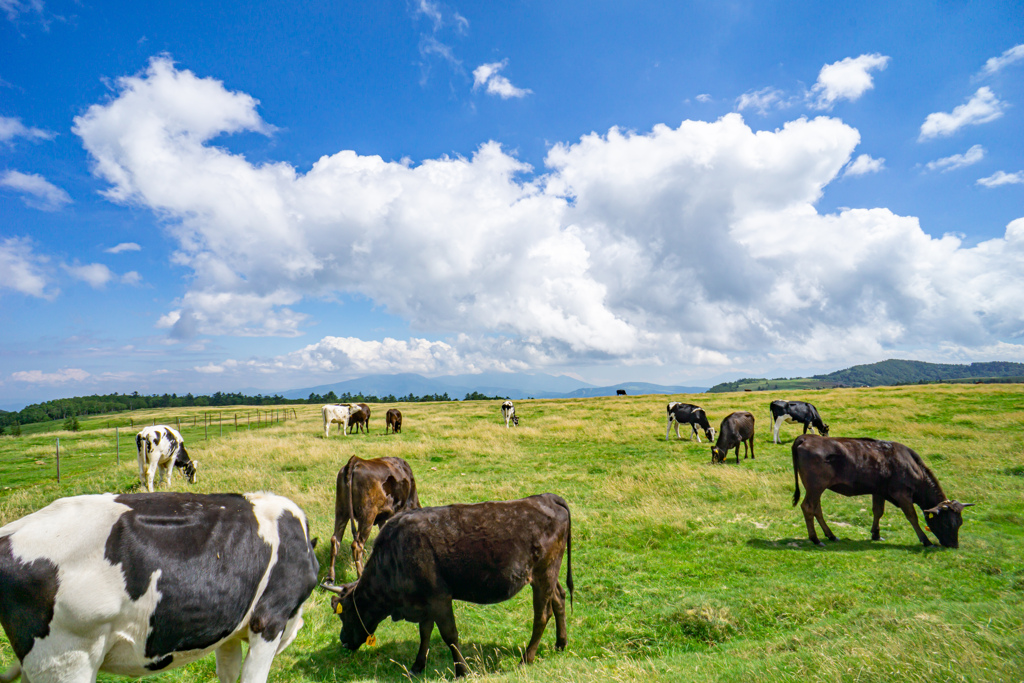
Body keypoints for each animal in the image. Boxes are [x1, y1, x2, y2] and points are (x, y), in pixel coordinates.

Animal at [321, 493, 573, 675]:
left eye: (344, 614)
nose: (343, 642)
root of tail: (546, 497)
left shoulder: (439, 598)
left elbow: (450, 635)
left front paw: (462, 670)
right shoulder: (423, 602)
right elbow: (424, 633)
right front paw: (417, 666)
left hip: (543, 574)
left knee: (542, 615)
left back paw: (526, 658)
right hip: (549, 575)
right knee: (559, 599)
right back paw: (561, 643)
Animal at [790, 438, 974, 548]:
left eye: (960, 523)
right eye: (946, 523)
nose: (954, 545)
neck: (912, 466)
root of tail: (807, 438)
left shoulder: (879, 491)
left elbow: (878, 511)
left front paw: (876, 534)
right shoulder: (902, 494)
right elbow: (912, 517)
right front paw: (926, 540)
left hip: (816, 488)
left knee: (817, 509)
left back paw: (831, 535)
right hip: (816, 486)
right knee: (808, 507)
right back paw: (815, 539)